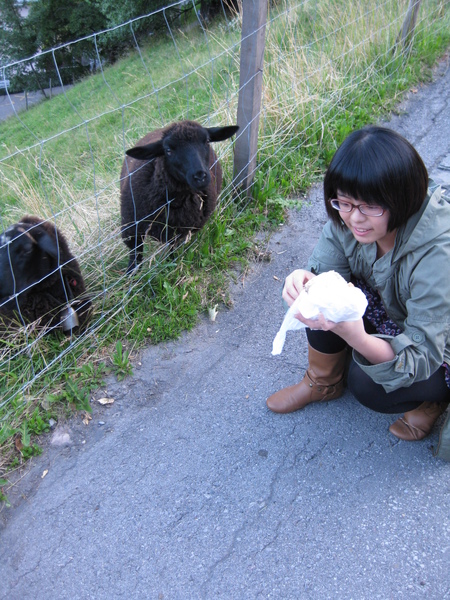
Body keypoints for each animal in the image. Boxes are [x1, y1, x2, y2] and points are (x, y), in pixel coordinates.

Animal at [119, 119, 239, 272]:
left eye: (207, 141)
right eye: (168, 150)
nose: (200, 176)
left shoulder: (178, 232)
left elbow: (172, 250)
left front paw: (172, 264)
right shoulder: (132, 229)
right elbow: (135, 254)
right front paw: (132, 274)